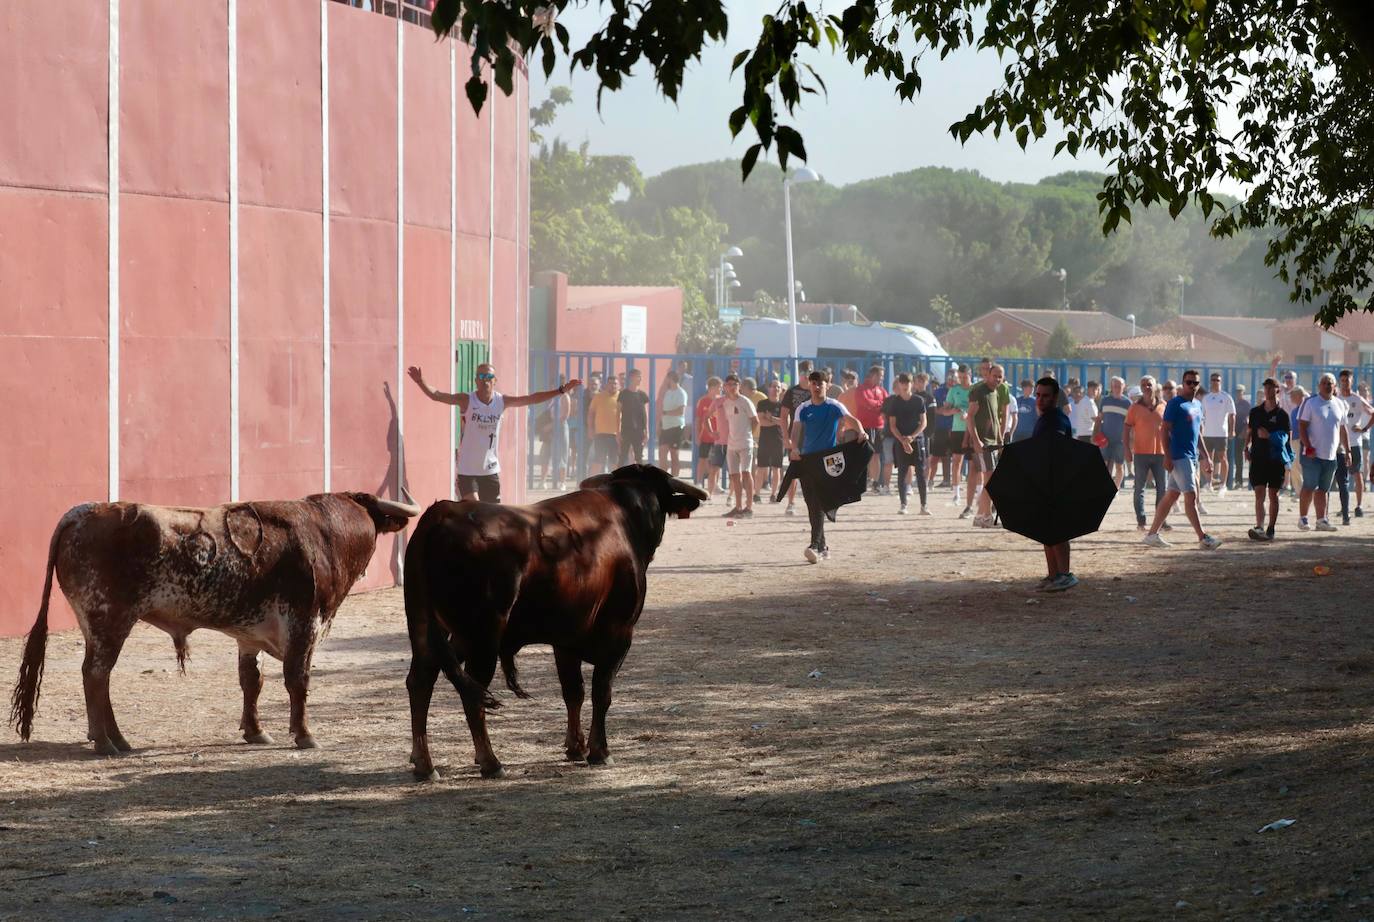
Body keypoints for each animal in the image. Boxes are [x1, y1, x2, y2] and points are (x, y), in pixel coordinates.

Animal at [10, 494, 417, 752]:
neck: (323, 532)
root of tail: (82, 511)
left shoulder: (249, 634)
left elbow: (252, 682)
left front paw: (255, 731)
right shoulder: (304, 623)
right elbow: (297, 680)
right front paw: (304, 734)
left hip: (97, 626)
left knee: (101, 677)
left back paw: (119, 740)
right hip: (109, 620)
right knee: (95, 675)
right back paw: (105, 742)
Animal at [401, 469, 703, 780]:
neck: (625, 513)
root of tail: (443, 512)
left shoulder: (566, 640)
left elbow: (573, 691)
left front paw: (576, 746)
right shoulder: (619, 635)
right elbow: (601, 692)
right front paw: (599, 751)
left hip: (431, 628)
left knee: (422, 680)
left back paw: (424, 764)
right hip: (482, 636)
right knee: (473, 691)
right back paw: (490, 762)